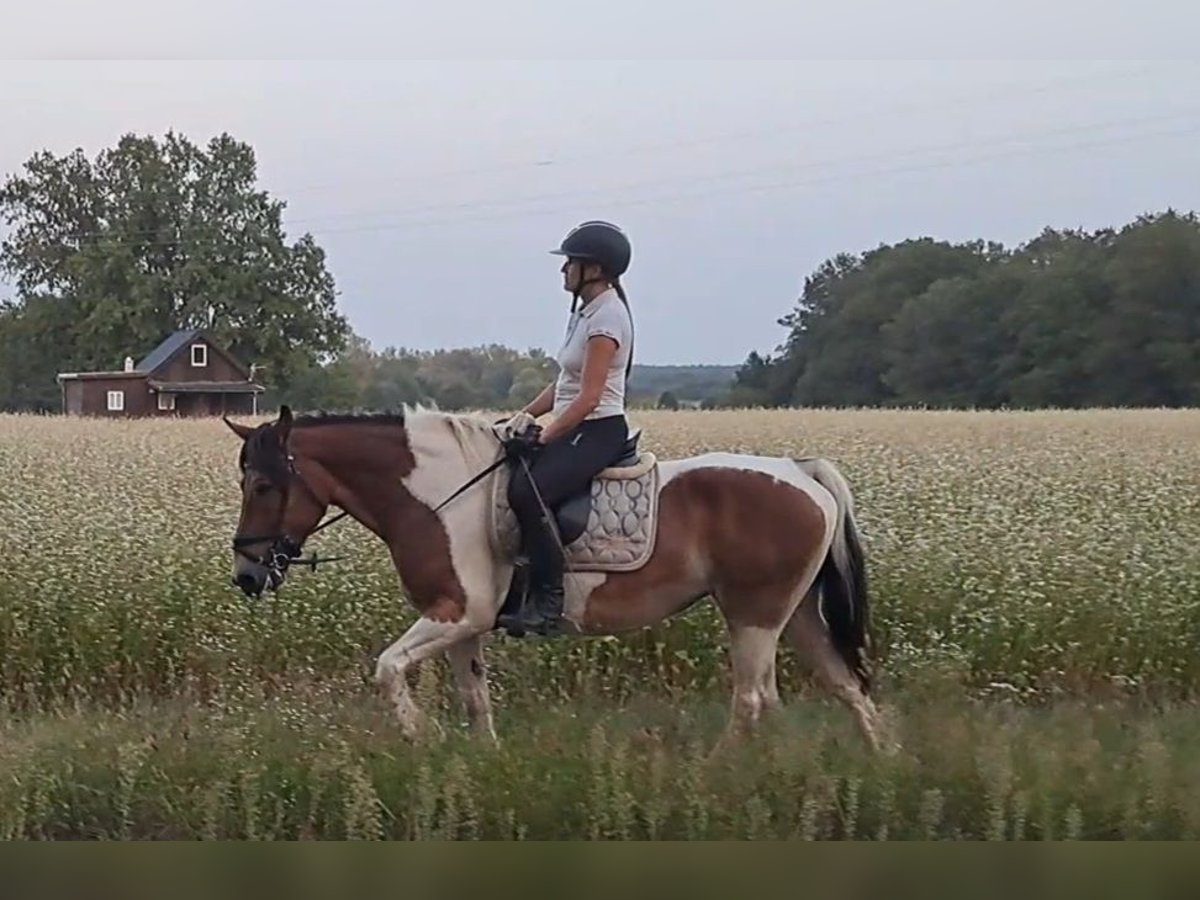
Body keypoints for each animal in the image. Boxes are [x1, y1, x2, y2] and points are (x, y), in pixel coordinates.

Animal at [223, 403, 883, 753]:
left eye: (264, 486)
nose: (247, 575)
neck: (435, 496)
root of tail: (799, 470)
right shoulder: (466, 626)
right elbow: (476, 699)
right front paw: (483, 763)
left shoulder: (455, 611)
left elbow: (387, 669)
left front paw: (422, 739)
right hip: (793, 616)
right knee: (844, 685)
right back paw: (879, 762)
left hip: (754, 615)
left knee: (753, 699)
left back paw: (719, 773)